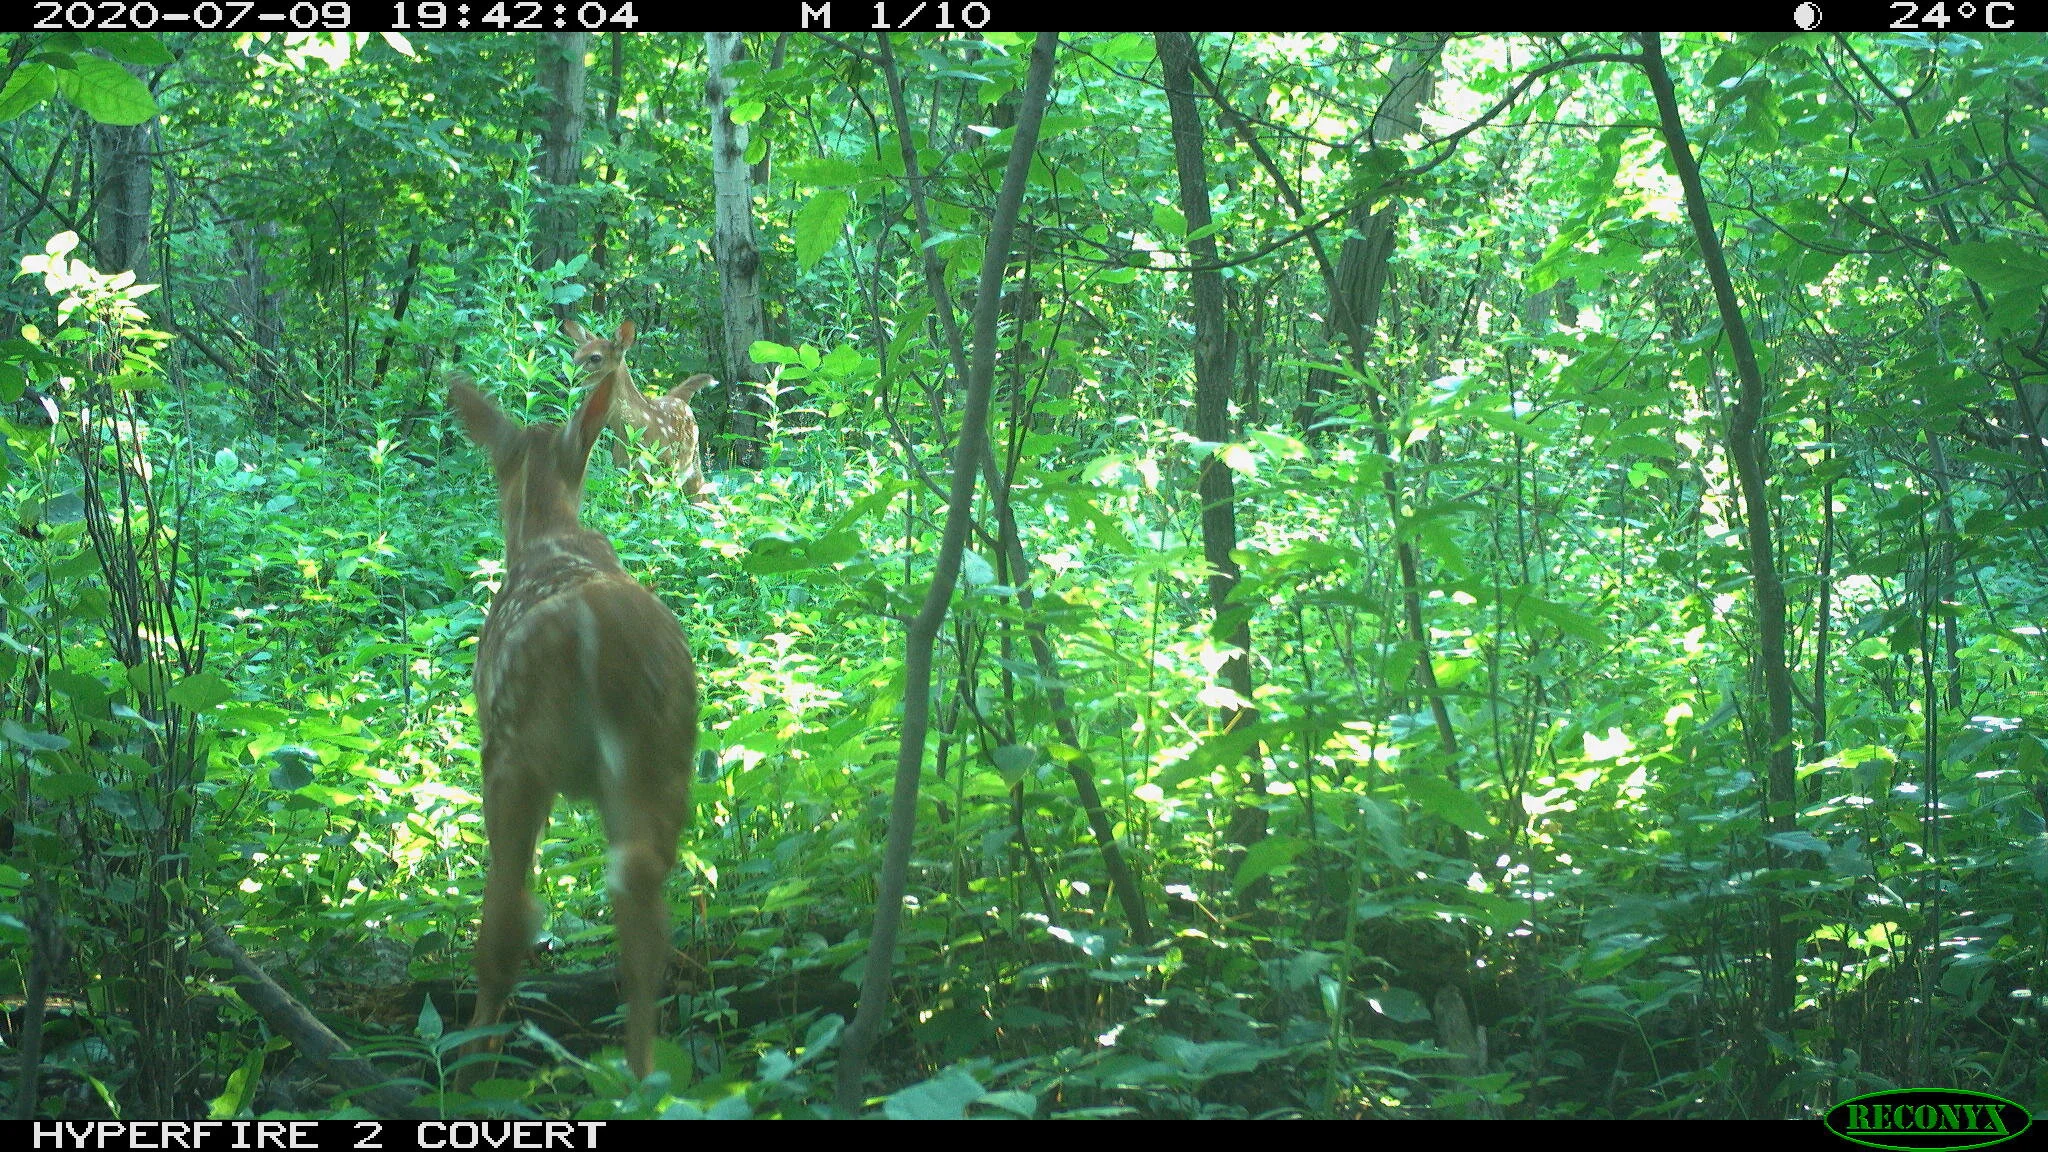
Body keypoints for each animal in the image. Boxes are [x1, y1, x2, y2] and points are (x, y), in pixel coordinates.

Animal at [448, 367, 698, 1086]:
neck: (547, 534)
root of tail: (608, 647)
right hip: (666, 755)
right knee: (644, 925)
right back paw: (640, 1082)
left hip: (519, 752)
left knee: (507, 923)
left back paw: (471, 1072)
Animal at [563, 320, 715, 501]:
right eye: (575, 355)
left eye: (595, 357)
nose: (565, 377)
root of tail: (679, 398)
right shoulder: (625, 468)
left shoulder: (663, 466)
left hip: (689, 458)